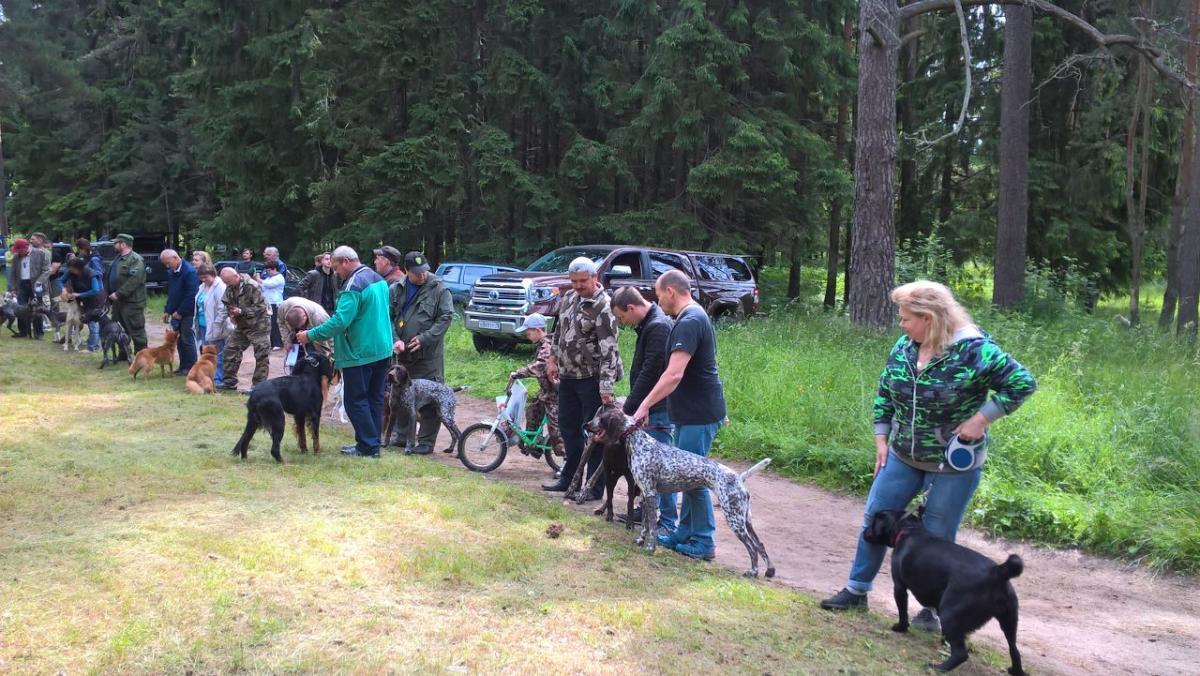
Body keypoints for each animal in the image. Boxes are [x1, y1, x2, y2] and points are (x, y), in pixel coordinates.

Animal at [586, 407, 774, 578]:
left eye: (601, 418)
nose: (587, 424)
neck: (639, 444)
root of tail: (739, 478)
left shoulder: (650, 493)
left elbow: (652, 528)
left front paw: (650, 548)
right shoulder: (646, 495)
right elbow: (645, 525)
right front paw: (640, 540)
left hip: (734, 519)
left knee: (752, 548)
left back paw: (753, 571)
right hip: (745, 520)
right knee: (760, 545)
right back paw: (770, 571)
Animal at [864, 509, 1025, 675]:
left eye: (873, 522)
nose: (865, 531)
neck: (910, 529)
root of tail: (998, 572)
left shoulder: (899, 587)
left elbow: (903, 612)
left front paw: (900, 628)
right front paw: (943, 641)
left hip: (950, 613)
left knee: (961, 654)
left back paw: (938, 668)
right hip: (1009, 622)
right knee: (1015, 650)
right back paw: (1015, 670)